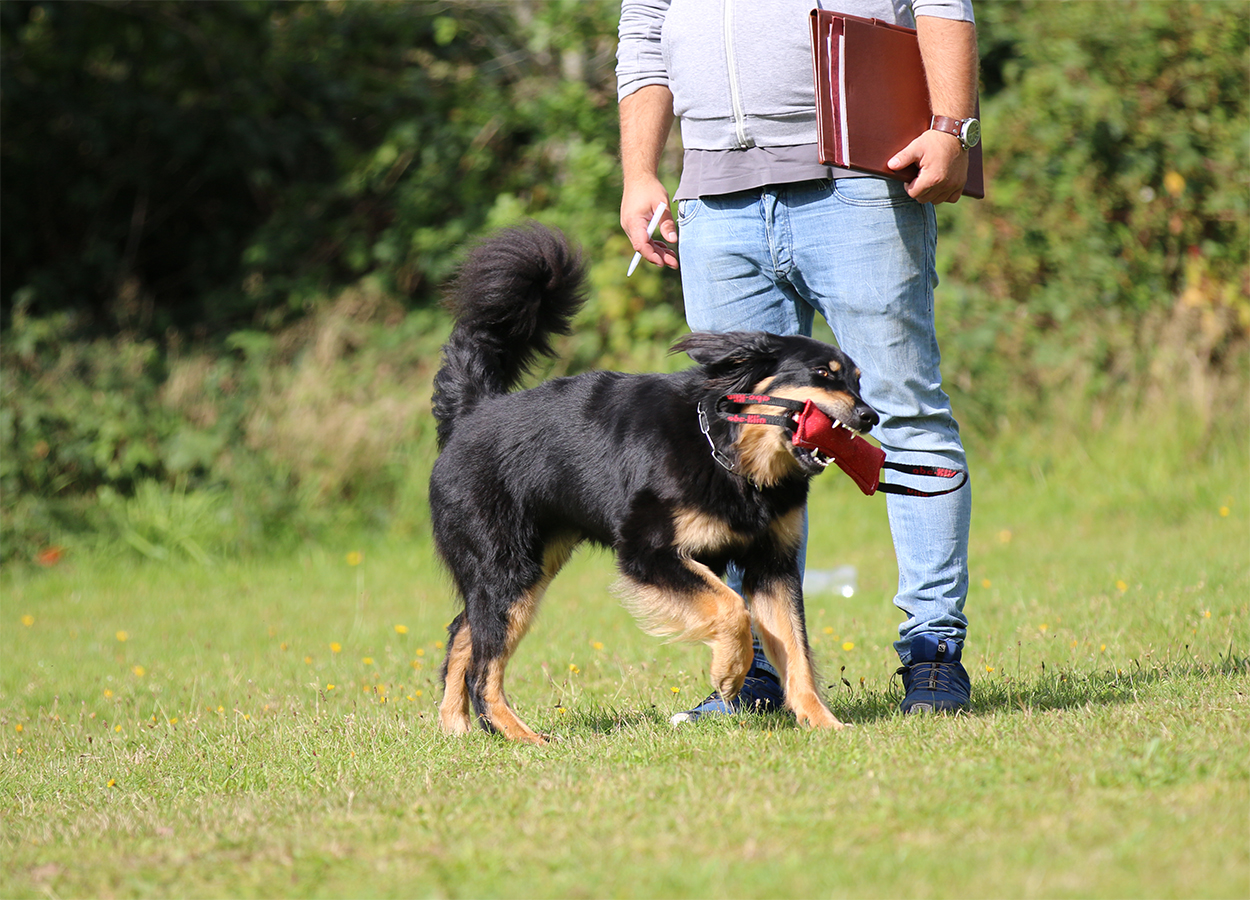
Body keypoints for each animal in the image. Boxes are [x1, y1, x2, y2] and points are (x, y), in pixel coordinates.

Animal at [429, 223, 878, 743]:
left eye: (858, 382)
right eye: (822, 375)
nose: (871, 416)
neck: (729, 454)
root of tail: (471, 412)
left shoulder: (773, 566)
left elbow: (796, 651)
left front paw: (823, 722)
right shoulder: (648, 553)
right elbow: (732, 610)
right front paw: (730, 673)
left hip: (526, 570)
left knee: (462, 635)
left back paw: (456, 727)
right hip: (507, 570)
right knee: (483, 668)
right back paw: (522, 737)